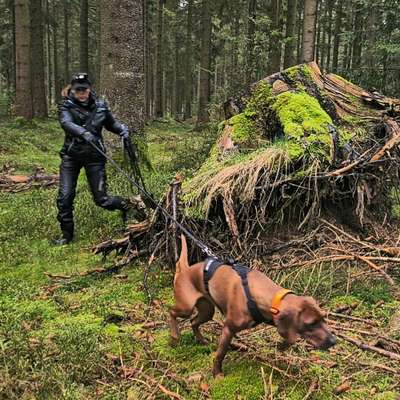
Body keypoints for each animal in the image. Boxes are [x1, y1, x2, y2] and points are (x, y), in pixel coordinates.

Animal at [169, 234, 334, 376]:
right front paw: (217, 373)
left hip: (207, 310)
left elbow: (288, 337)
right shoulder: (228, 328)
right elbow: (220, 354)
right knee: (172, 311)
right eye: (311, 323)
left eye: (323, 318)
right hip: (186, 307)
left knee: (193, 322)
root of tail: (184, 270)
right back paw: (175, 336)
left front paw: (283, 345)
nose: (334, 341)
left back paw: (201, 340)